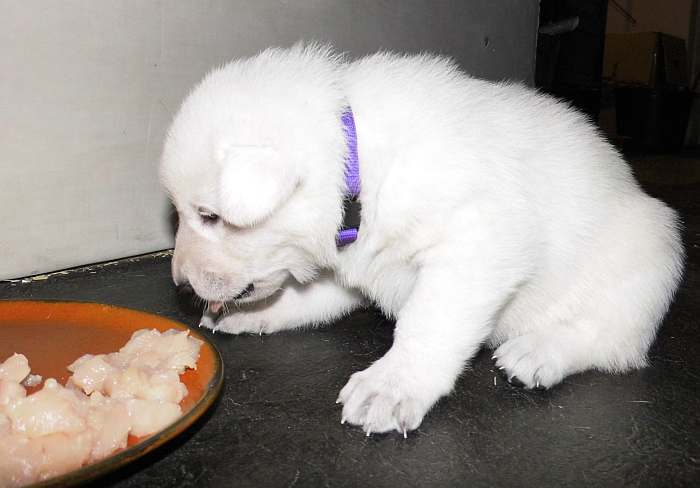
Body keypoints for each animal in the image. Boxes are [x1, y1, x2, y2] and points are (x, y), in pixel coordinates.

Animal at [159, 43, 684, 436]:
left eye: (210, 216)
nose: (179, 285)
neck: (358, 164)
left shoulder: (478, 243)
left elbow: (428, 322)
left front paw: (391, 385)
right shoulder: (352, 264)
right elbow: (310, 297)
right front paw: (256, 314)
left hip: (650, 256)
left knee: (611, 341)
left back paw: (539, 352)